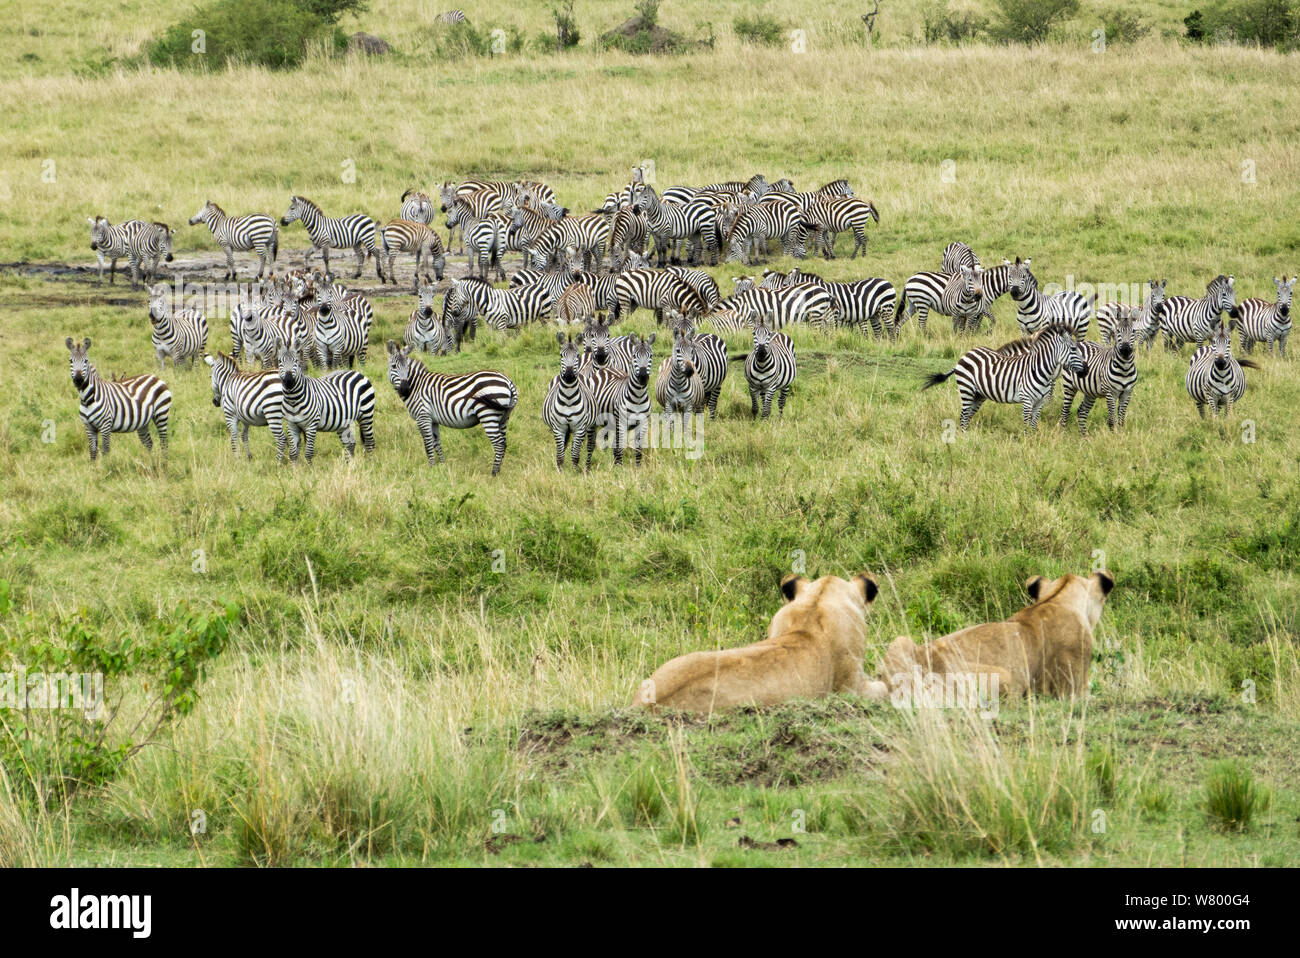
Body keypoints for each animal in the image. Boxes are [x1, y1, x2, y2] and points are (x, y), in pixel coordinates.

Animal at [382, 340, 514, 475]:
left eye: (407, 367)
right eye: (394, 366)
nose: (405, 389)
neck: (416, 385)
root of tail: (507, 381)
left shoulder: (423, 417)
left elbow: (428, 444)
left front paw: (431, 468)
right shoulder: (433, 420)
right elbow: (436, 443)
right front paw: (441, 466)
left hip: (488, 415)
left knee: (498, 444)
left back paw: (493, 473)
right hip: (503, 418)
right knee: (504, 443)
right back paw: (499, 471)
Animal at [540, 332, 595, 470]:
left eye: (577, 356)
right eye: (561, 355)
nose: (569, 375)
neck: (569, 398)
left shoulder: (579, 428)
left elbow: (575, 455)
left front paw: (574, 471)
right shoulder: (558, 428)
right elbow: (560, 455)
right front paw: (560, 471)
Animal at [587, 332, 655, 462]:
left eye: (650, 356)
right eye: (634, 356)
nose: (643, 377)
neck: (638, 397)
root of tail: (604, 369)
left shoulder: (642, 423)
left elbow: (638, 450)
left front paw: (637, 466)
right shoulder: (622, 423)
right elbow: (620, 448)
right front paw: (621, 467)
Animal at [925, 321, 1086, 428]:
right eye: (1073, 349)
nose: (1085, 370)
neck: (1039, 370)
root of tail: (965, 356)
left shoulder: (1039, 403)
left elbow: (1034, 425)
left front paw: (1034, 443)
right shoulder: (1027, 400)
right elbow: (1026, 425)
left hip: (978, 395)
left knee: (967, 415)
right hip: (967, 390)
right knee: (964, 416)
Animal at [1060, 306, 1144, 434]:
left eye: (1133, 331)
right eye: (1117, 331)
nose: (1125, 349)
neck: (1124, 369)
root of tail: (1078, 343)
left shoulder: (1127, 393)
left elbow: (1121, 419)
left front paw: (1121, 434)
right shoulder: (1110, 393)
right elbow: (1112, 418)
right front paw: (1113, 435)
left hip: (1090, 391)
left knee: (1082, 411)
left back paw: (1085, 435)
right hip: (1069, 386)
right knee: (1065, 411)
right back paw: (1063, 432)